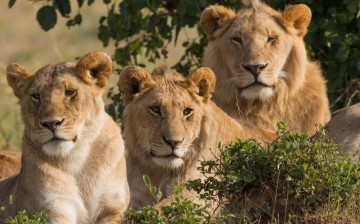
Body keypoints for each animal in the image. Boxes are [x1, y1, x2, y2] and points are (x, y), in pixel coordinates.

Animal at [0, 51, 129, 223]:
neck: (77, 161)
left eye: (70, 92)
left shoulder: (114, 209)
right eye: (36, 96)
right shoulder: (55, 208)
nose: (51, 123)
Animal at [116, 65, 274, 209]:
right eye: (155, 109)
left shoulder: (200, 192)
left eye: (187, 111)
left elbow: (156, 210)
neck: (159, 172)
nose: (174, 142)